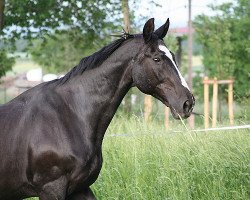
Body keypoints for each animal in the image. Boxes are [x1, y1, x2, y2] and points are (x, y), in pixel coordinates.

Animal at [0, 18, 195, 199]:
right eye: (156, 58)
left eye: (173, 56)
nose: (188, 103)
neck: (68, 115)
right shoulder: (51, 189)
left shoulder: (80, 188)